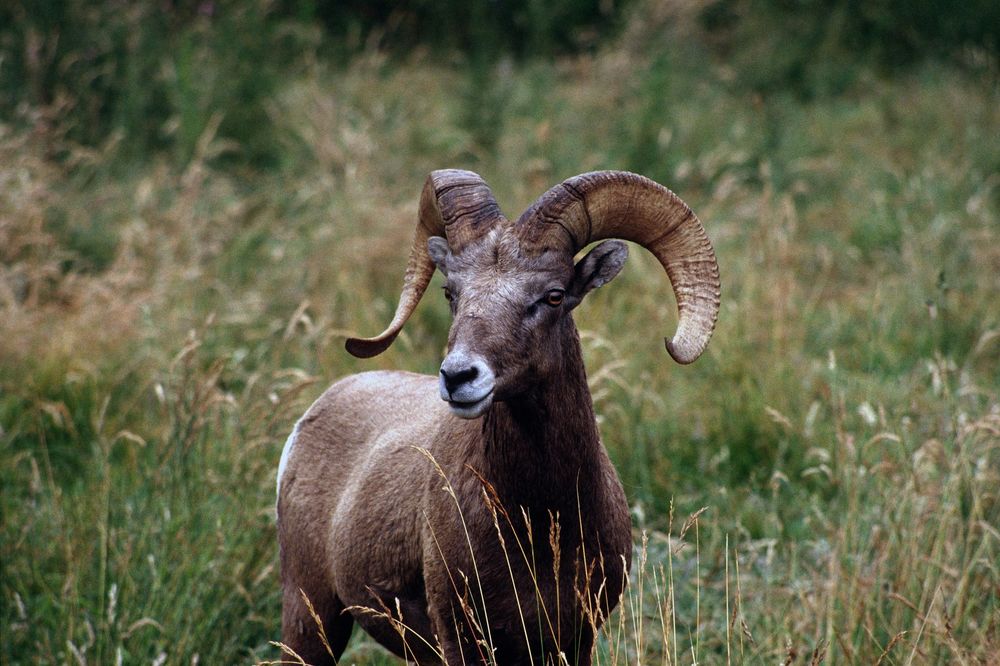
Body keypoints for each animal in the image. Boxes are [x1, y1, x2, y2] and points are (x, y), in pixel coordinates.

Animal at [278, 169, 724, 660]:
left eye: (553, 296)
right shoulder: (461, 638)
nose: (458, 376)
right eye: (451, 292)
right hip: (311, 617)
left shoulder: (576, 639)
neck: (540, 527)